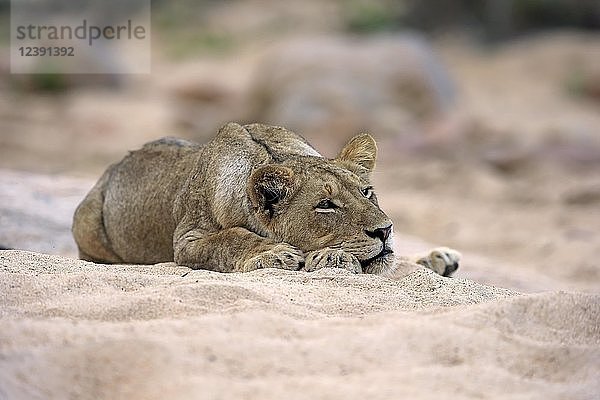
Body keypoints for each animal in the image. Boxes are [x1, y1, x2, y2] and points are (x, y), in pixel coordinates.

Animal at [72, 122, 462, 276]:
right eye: (326, 205)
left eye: (366, 192)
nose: (385, 230)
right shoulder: (186, 240)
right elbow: (230, 238)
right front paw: (278, 253)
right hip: (86, 222)